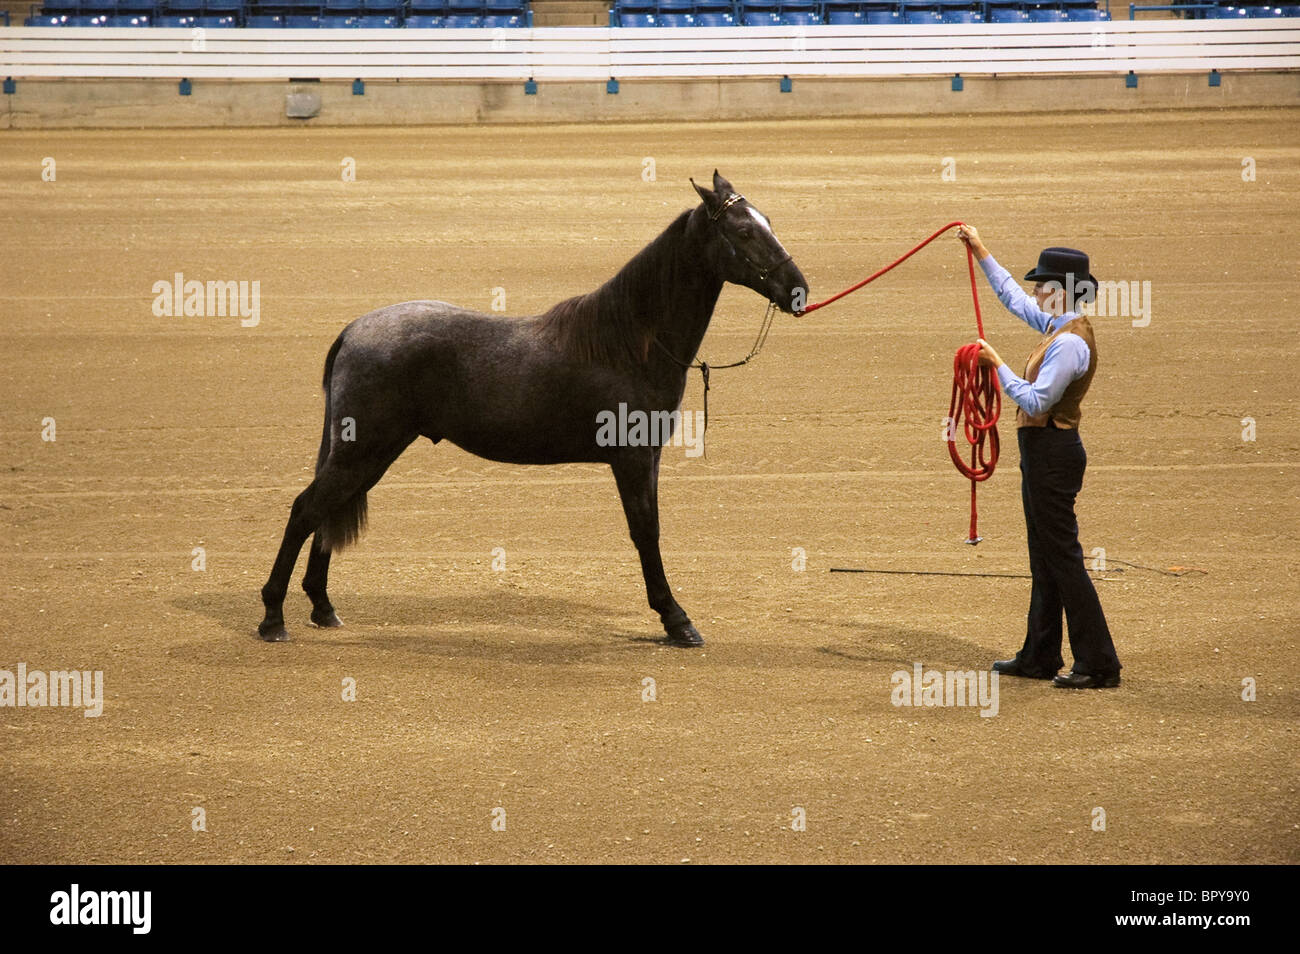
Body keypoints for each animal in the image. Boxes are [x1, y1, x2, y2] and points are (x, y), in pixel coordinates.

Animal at [257, 171, 806, 649]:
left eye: (768, 221)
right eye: (743, 230)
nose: (798, 290)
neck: (629, 343)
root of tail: (355, 330)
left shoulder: (647, 458)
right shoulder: (631, 458)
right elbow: (645, 533)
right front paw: (677, 621)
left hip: (371, 455)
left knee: (323, 513)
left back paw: (323, 608)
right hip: (362, 451)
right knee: (305, 510)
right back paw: (272, 618)